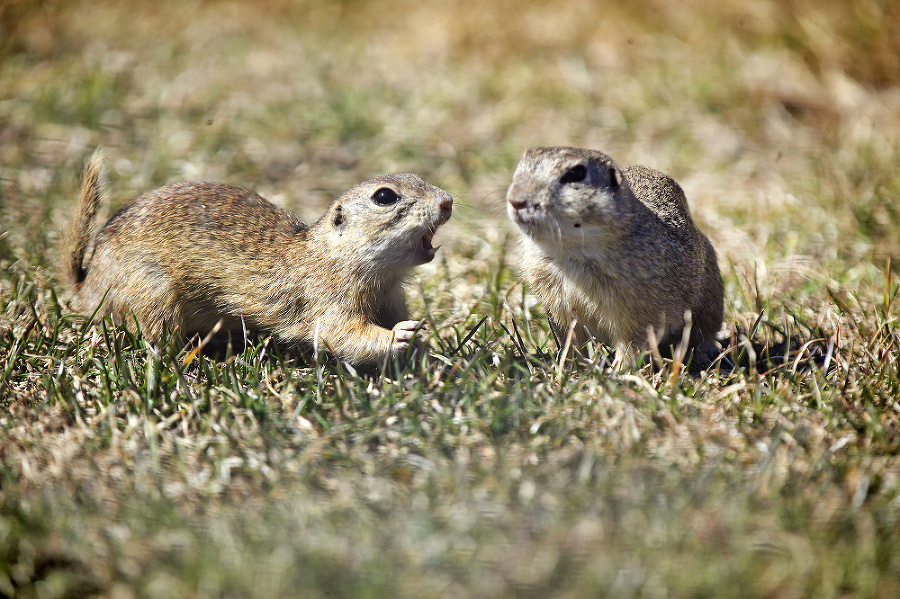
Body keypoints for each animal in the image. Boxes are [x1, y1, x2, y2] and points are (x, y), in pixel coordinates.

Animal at [66, 152, 454, 364]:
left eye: (416, 176)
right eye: (384, 196)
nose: (448, 201)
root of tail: (86, 286)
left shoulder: (391, 299)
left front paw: (425, 350)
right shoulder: (328, 299)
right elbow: (343, 335)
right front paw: (400, 336)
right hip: (152, 294)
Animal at [506, 146, 724, 360]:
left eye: (576, 173)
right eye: (521, 164)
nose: (515, 200)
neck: (571, 254)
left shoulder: (639, 313)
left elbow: (630, 347)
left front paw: (618, 369)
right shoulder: (559, 307)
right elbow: (573, 341)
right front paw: (569, 363)